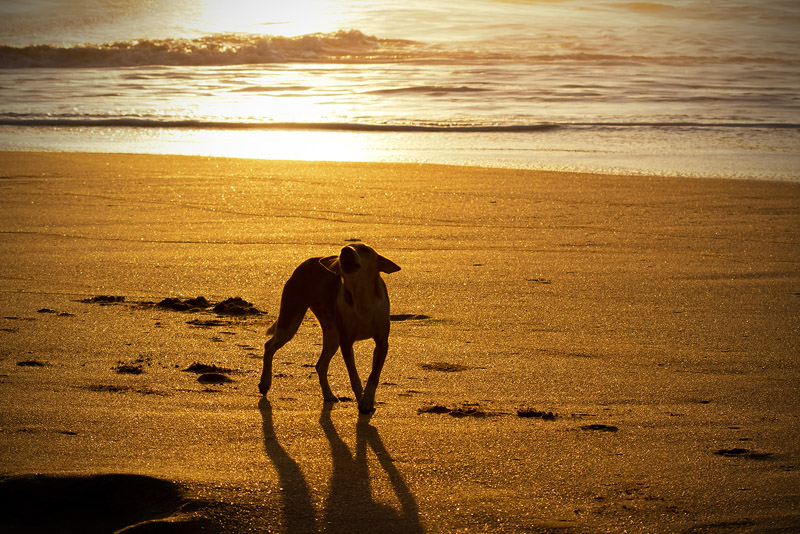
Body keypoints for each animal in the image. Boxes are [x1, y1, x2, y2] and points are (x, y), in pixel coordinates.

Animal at [260, 244, 400, 414]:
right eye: (345, 248)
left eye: (365, 250)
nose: (345, 249)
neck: (362, 298)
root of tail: (307, 262)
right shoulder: (346, 342)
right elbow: (354, 376)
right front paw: (361, 399)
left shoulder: (382, 342)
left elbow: (374, 374)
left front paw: (367, 400)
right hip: (290, 320)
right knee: (269, 346)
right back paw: (264, 383)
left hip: (332, 336)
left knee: (320, 365)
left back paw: (328, 394)